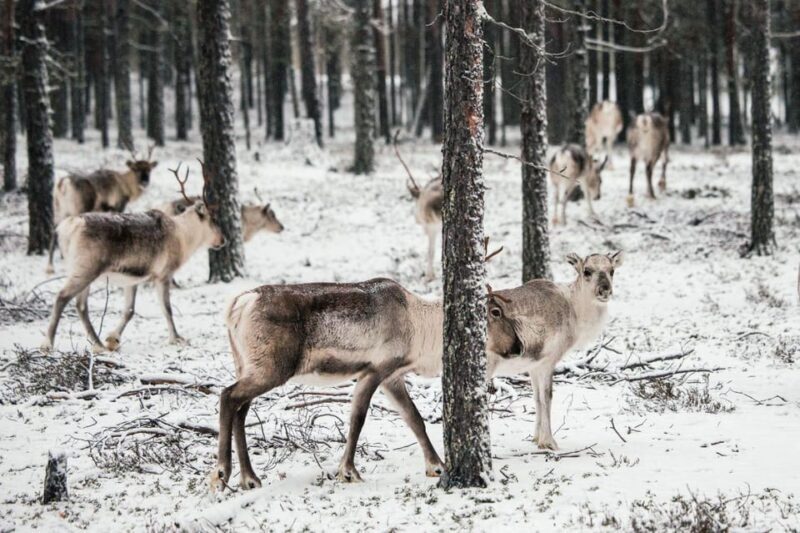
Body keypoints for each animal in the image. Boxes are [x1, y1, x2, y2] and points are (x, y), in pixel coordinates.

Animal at [40, 161, 225, 354]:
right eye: (213, 219)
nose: (223, 240)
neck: (183, 237)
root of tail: (68, 227)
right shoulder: (164, 274)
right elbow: (167, 309)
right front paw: (176, 338)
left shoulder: (132, 279)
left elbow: (129, 310)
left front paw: (112, 339)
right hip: (85, 269)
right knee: (62, 297)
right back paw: (47, 343)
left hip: (84, 271)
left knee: (81, 305)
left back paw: (98, 344)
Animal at [46, 146, 159, 275]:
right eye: (135, 169)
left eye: (149, 169)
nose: (144, 182)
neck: (125, 185)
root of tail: (63, 184)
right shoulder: (118, 205)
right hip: (78, 208)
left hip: (58, 210)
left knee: (54, 231)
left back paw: (50, 267)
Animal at [209, 249, 623, 491]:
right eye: (494, 311)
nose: (518, 347)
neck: (422, 332)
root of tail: (236, 305)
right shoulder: (376, 370)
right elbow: (358, 418)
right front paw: (349, 470)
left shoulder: (393, 375)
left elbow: (415, 419)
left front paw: (437, 466)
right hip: (272, 367)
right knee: (228, 396)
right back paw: (224, 473)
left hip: (251, 364)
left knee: (240, 406)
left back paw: (249, 477)